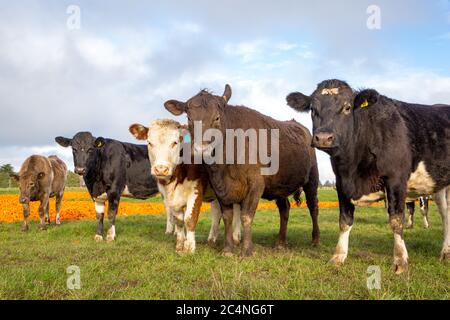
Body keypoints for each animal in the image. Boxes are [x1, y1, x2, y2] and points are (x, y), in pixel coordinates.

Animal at [128, 119, 241, 254]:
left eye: (175, 142)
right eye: (149, 143)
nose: (161, 169)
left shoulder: (196, 190)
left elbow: (190, 218)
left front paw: (190, 247)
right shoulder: (170, 196)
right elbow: (179, 221)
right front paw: (180, 245)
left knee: (237, 210)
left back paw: (236, 238)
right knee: (216, 212)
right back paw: (211, 238)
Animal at [164, 84, 320, 256]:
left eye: (217, 118)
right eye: (189, 118)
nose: (201, 149)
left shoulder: (256, 185)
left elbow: (246, 216)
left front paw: (246, 250)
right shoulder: (220, 188)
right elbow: (227, 217)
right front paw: (228, 249)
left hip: (312, 179)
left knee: (313, 207)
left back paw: (315, 240)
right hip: (280, 185)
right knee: (284, 208)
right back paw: (280, 242)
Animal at [288, 79, 450, 272]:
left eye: (347, 107)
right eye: (313, 109)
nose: (324, 137)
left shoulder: (396, 179)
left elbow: (396, 219)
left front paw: (400, 260)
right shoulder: (341, 183)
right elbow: (344, 220)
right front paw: (338, 256)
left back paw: (445, 251)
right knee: (445, 213)